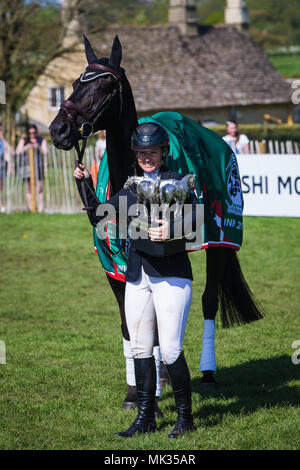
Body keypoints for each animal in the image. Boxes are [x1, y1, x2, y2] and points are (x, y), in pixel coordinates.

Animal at [50, 35, 264, 396]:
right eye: (78, 81)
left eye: (105, 85)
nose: (58, 129)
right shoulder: (113, 265)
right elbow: (129, 324)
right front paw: (136, 388)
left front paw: (159, 379)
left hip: (220, 243)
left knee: (207, 301)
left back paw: (207, 370)